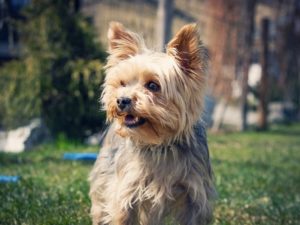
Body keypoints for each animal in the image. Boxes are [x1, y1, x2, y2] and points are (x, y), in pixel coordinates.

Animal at [89, 21, 216, 225]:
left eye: (153, 85)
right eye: (122, 83)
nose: (121, 100)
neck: (160, 145)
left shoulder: (194, 197)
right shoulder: (125, 191)